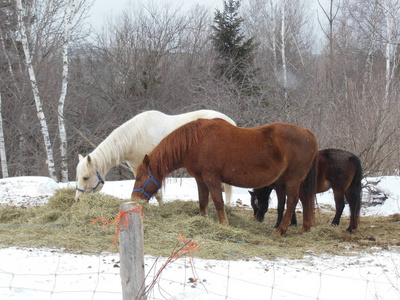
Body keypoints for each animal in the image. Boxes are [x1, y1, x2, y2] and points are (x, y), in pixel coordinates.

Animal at [74, 110, 236, 204]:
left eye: (85, 178)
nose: (78, 199)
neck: (136, 137)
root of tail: (231, 122)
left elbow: (158, 193)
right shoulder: (136, 168)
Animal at [133, 118, 318, 236]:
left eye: (139, 177)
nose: (134, 198)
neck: (197, 141)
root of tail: (309, 133)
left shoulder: (212, 178)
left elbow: (218, 202)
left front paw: (224, 224)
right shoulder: (201, 180)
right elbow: (203, 201)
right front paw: (204, 220)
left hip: (293, 180)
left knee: (292, 202)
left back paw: (280, 230)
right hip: (299, 181)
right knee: (305, 200)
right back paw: (305, 228)